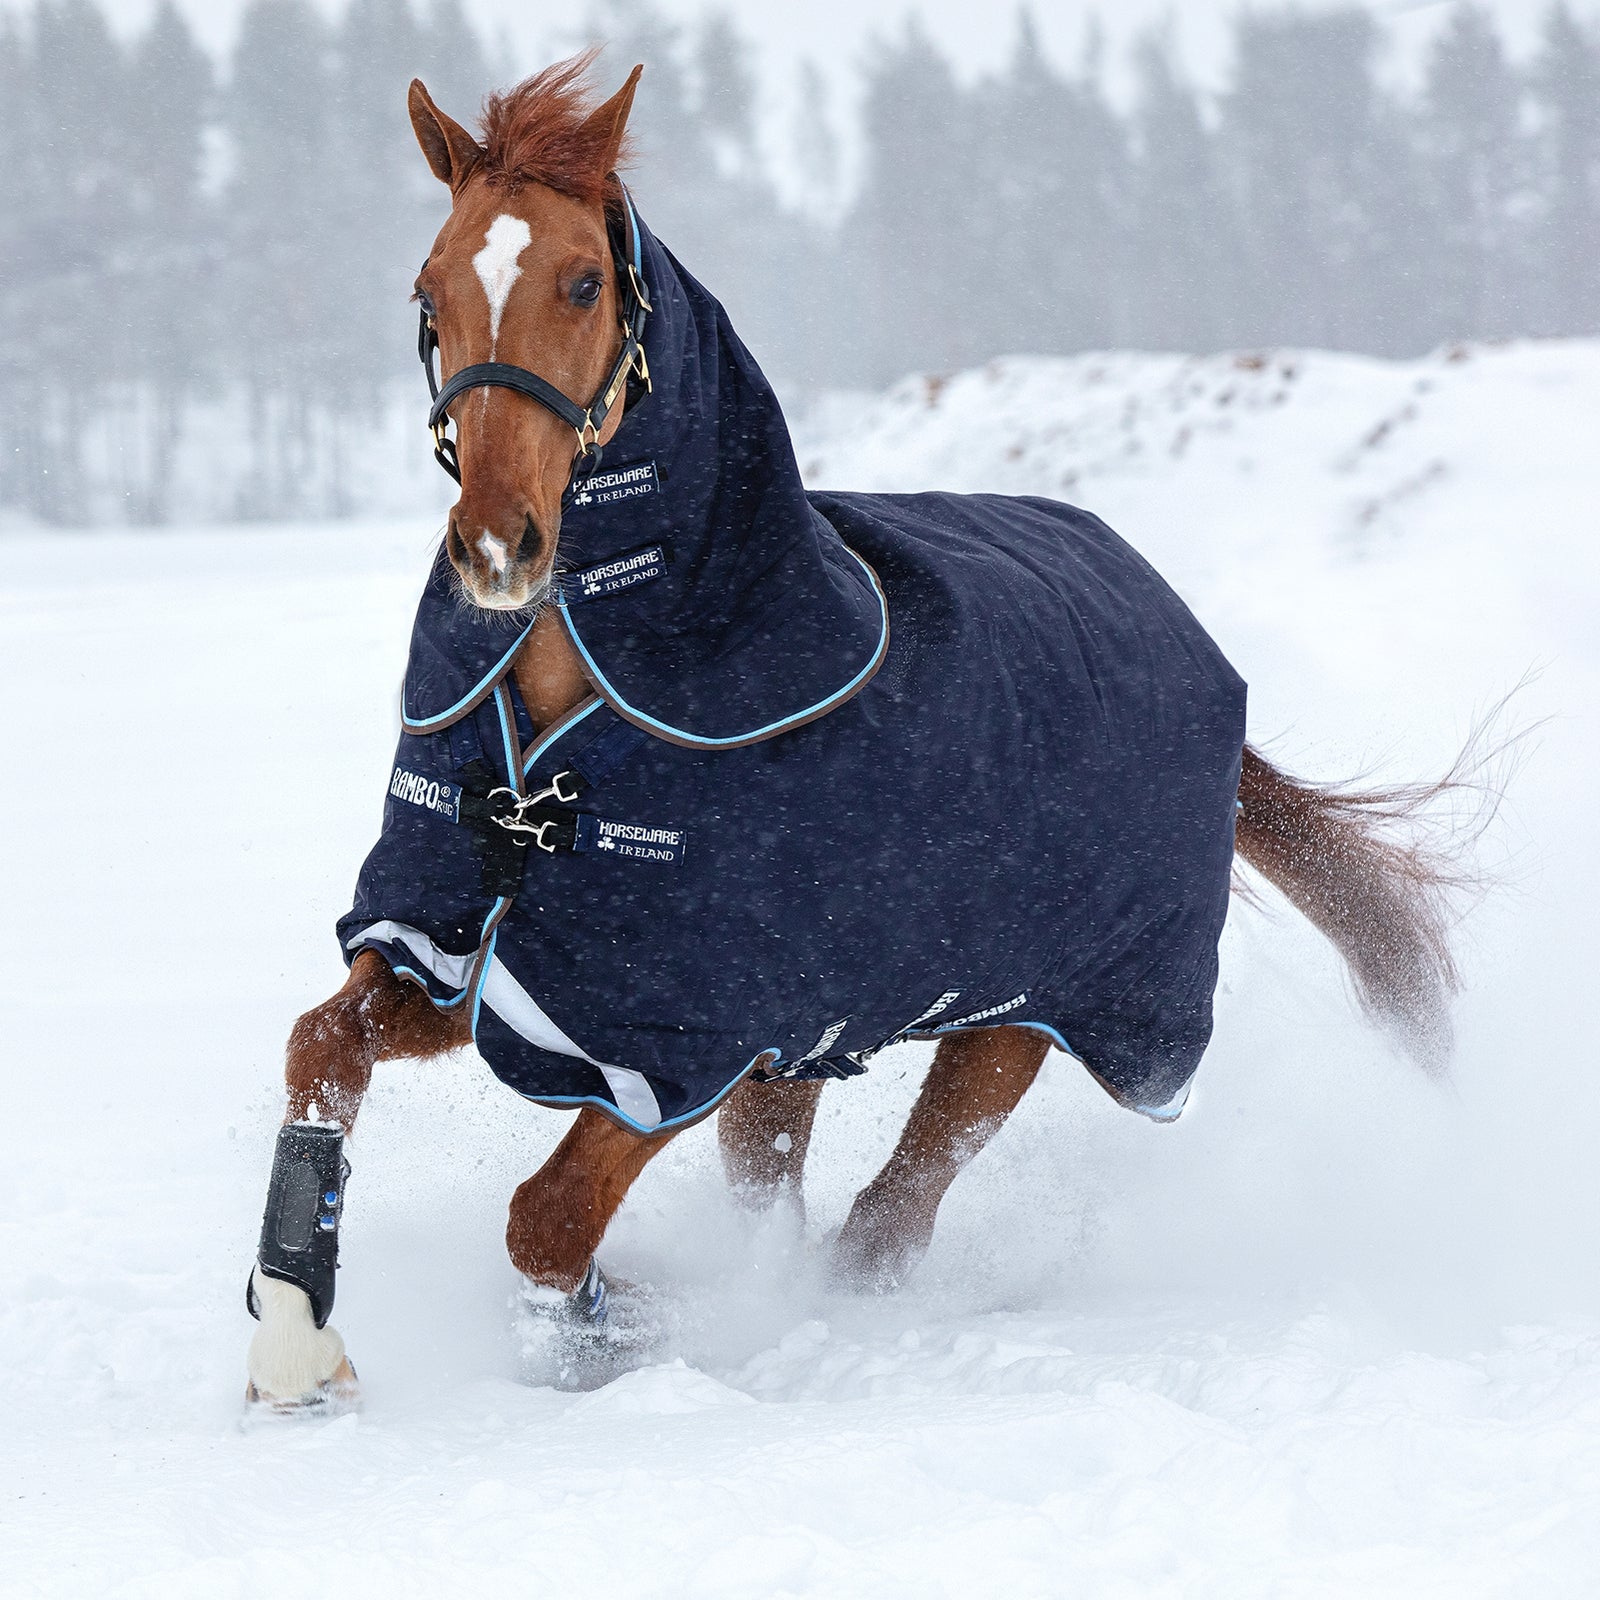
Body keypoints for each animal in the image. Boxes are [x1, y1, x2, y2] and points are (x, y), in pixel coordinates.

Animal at [243, 58, 1467, 1413]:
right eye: (430, 289)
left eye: (582, 281)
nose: (499, 547)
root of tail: (1189, 641)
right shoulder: (479, 953)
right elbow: (321, 1044)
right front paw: (294, 1338)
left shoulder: (689, 1036)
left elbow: (547, 1219)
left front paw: (615, 1330)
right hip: (817, 1058)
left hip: (1024, 1016)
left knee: (888, 1222)